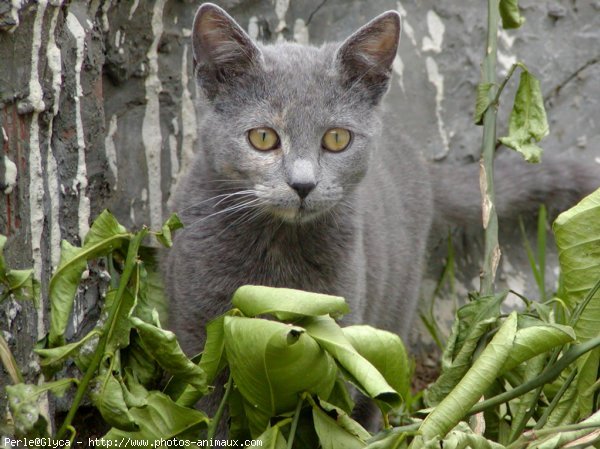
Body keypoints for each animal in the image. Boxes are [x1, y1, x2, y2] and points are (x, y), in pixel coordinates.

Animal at [162, 0, 596, 432]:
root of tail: (416, 158)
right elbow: (212, 412)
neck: (277, 252)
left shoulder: (338, 330)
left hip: (392, 309)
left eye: (337, 139)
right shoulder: (200, 334)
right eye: (263, 137)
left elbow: (326, 413)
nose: (303, 184)